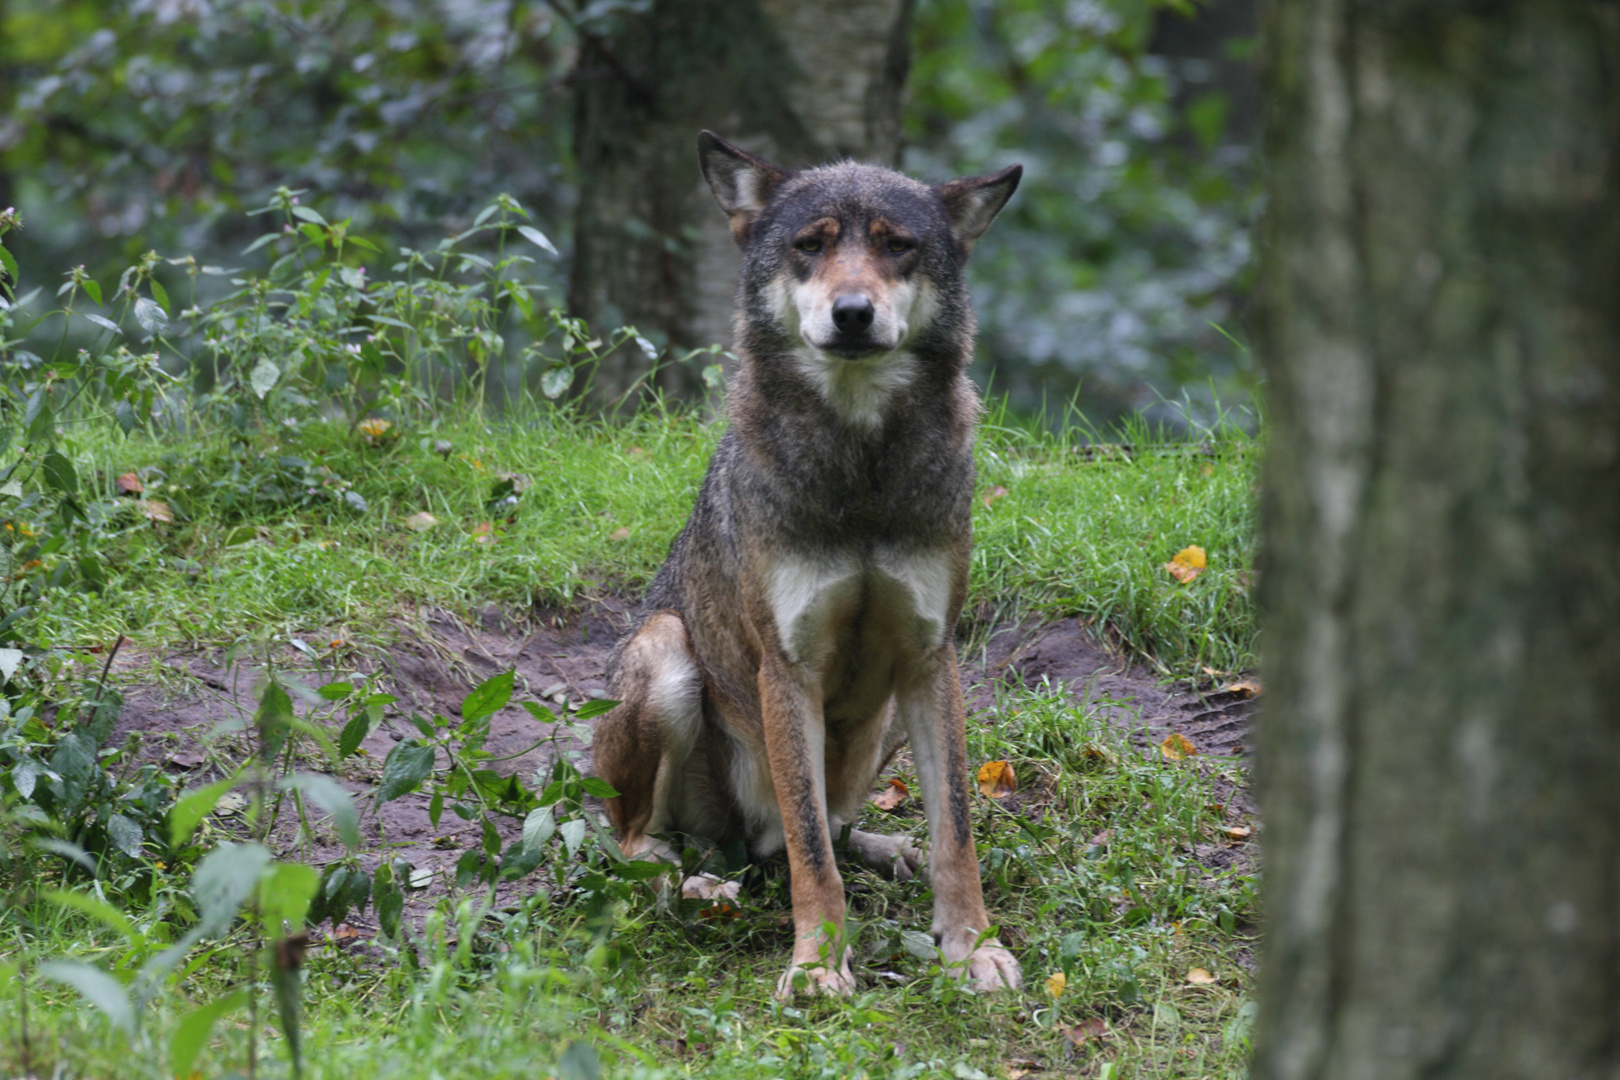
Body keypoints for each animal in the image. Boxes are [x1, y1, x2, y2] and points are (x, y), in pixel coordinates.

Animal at [592, 131, 1023, 1003]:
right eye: (810, 246)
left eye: (897, 246)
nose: (852, 312)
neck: (859, 475)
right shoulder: (786, 668)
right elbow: (810, 849)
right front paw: (819, 965)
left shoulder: (931, 658)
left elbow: (955, 830)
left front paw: (972, 947)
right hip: (666, 653)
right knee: (650, 844)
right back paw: (693, 882)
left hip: (883, 718)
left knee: (837, 826)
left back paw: (886, 851)